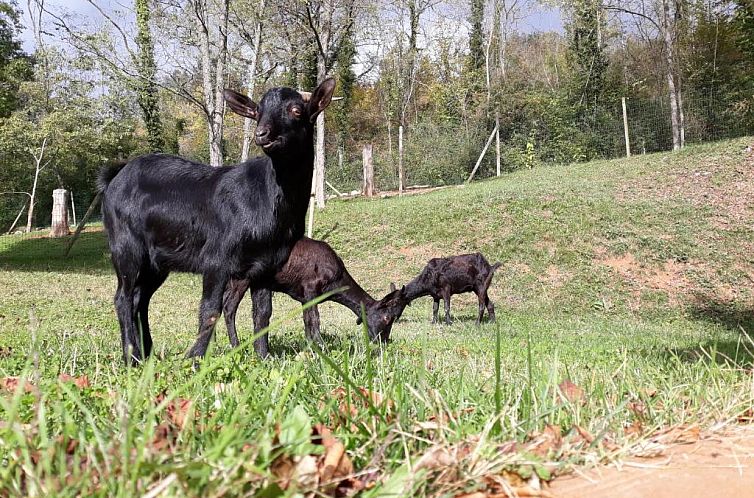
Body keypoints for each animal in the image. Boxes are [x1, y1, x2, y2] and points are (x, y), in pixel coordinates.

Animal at [97, 79, 334, 366]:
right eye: (258, 111)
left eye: (296, 110)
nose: (262, 134)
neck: (265, 200)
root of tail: (114, 178)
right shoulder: (216, 260)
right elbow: (210, 310)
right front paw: (196, 359)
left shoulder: (267, 264)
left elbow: (263, 313)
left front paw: (263, 357)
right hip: (126, 248)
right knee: (123, 298)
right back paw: (131, 357)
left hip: (156, 262)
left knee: (139, 300)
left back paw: (147, 354)